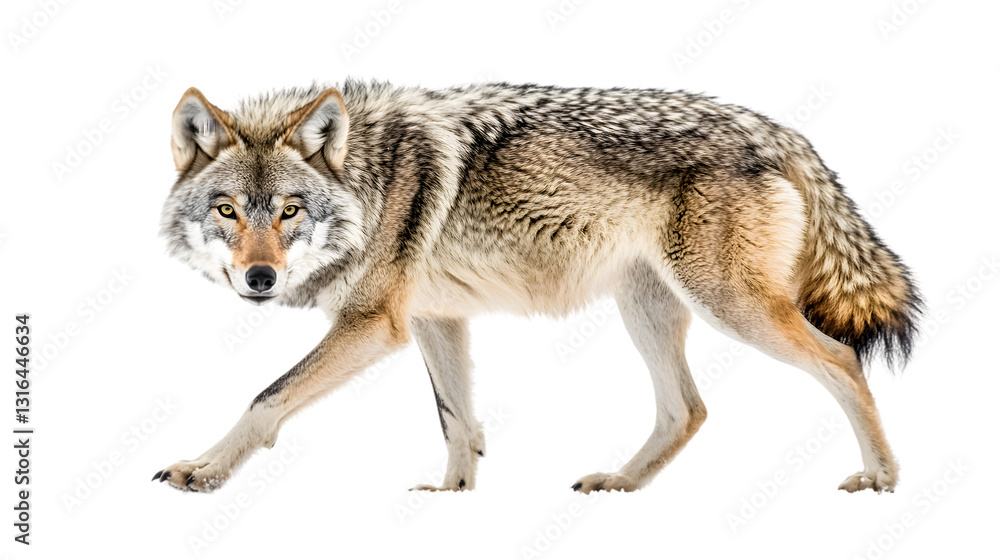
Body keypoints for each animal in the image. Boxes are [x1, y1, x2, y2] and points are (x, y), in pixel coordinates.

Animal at [154, 80, 921, 494]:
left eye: (289, 211)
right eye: (228, 210)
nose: (259, 277)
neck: (366, 180)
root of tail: (780, 130)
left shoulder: (373, 325)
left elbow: (265, 398)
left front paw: (204, 470)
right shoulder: (434, 320)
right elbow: (458, 422)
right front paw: (451, 500)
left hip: (730, 307)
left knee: (841, 361)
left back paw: (882, 480)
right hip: (646, 309)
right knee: (687, 410)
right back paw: (620, 485)